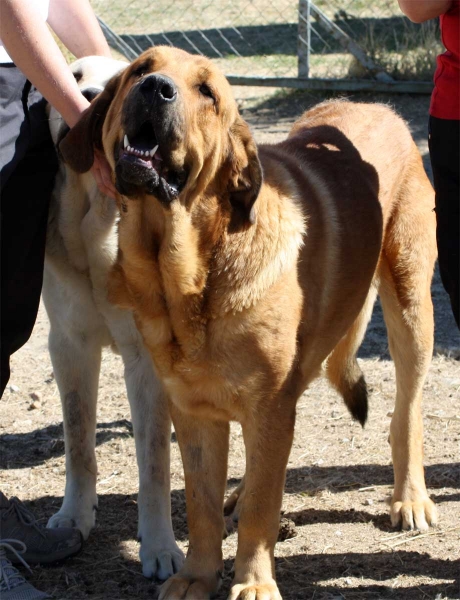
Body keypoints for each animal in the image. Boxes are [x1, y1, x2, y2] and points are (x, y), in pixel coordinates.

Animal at [44, 57, 184, 580]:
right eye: (75, 75)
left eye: (119, 81)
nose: (84, 98)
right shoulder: (68, 344)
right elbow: (78, 441)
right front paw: (73, 517)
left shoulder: (146, 356)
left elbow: (155, 461)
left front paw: (160, 545)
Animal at [59, 48, 436, 600]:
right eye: (141, 68)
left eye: (207, 92)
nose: (155, 88)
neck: (194, 274)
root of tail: (378, 107)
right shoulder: (193, 412)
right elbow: (201, 505)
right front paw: (197, 576)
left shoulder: (269, 406)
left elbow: (262, 507)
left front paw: (253, 583)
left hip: (410, 307)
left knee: (405, 412)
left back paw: (410, 498)